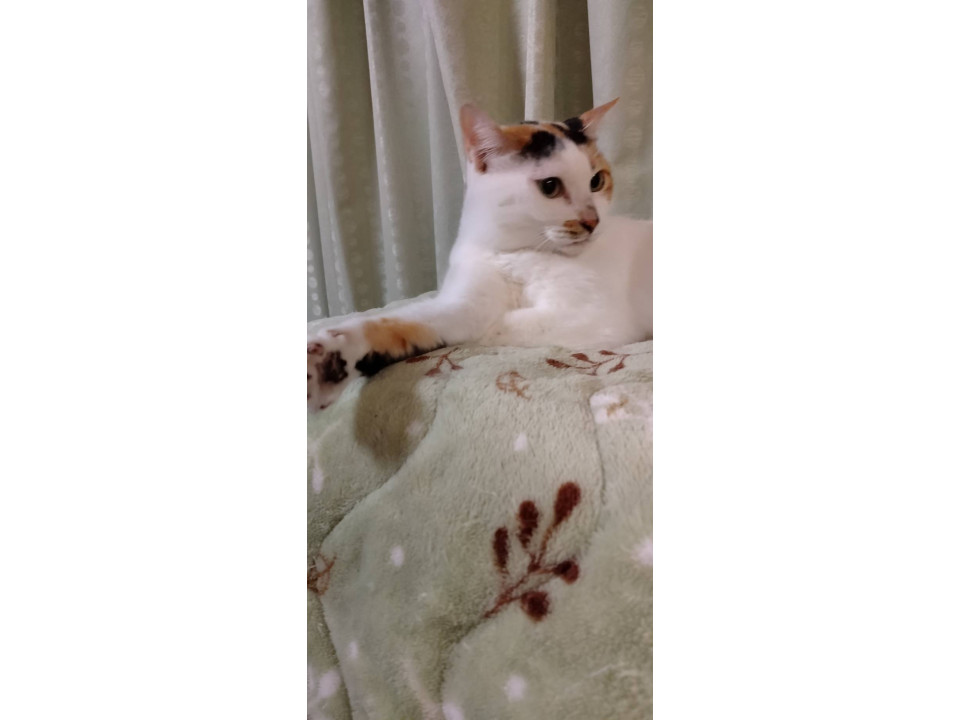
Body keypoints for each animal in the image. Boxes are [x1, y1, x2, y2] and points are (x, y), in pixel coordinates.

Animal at [308, 98, 652, 411]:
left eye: (596, 181)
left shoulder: (594, 317)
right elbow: (404, 321)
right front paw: (327, 362)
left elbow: (493, 329)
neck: (512, 253)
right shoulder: (464, 299)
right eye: (550, 186)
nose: (592, 222)